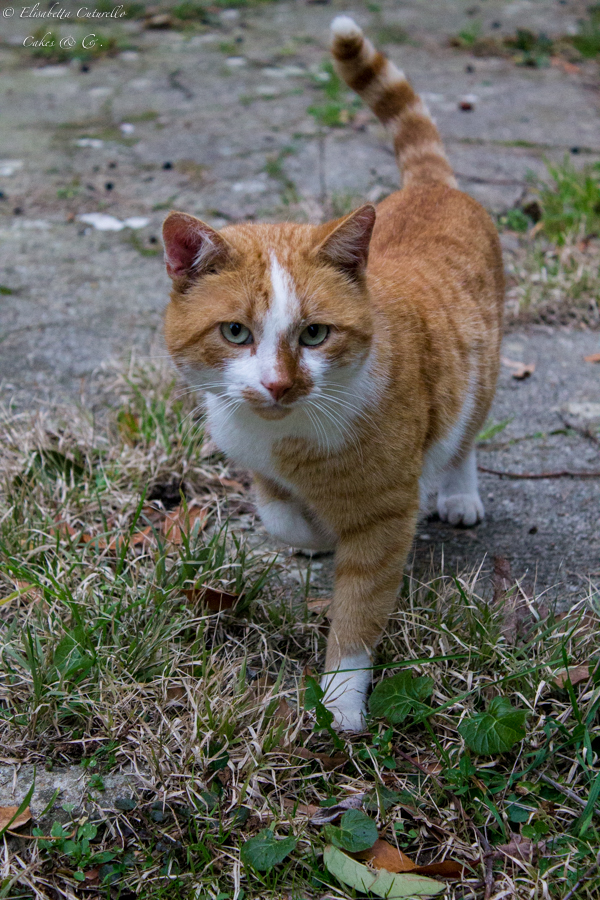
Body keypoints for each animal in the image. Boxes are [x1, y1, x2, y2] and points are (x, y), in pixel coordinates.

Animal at [162, 15, 504, 732]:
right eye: (236, 333)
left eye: (314, 333)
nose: (278, 384)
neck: (286, 436)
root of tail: (431, 187)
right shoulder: (251, 458)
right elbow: (279, 514)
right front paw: (312, 532)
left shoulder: (384, 519)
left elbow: (357, 613)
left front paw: (342, 701)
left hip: (479, 368)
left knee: (464, 433)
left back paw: (457, 491)